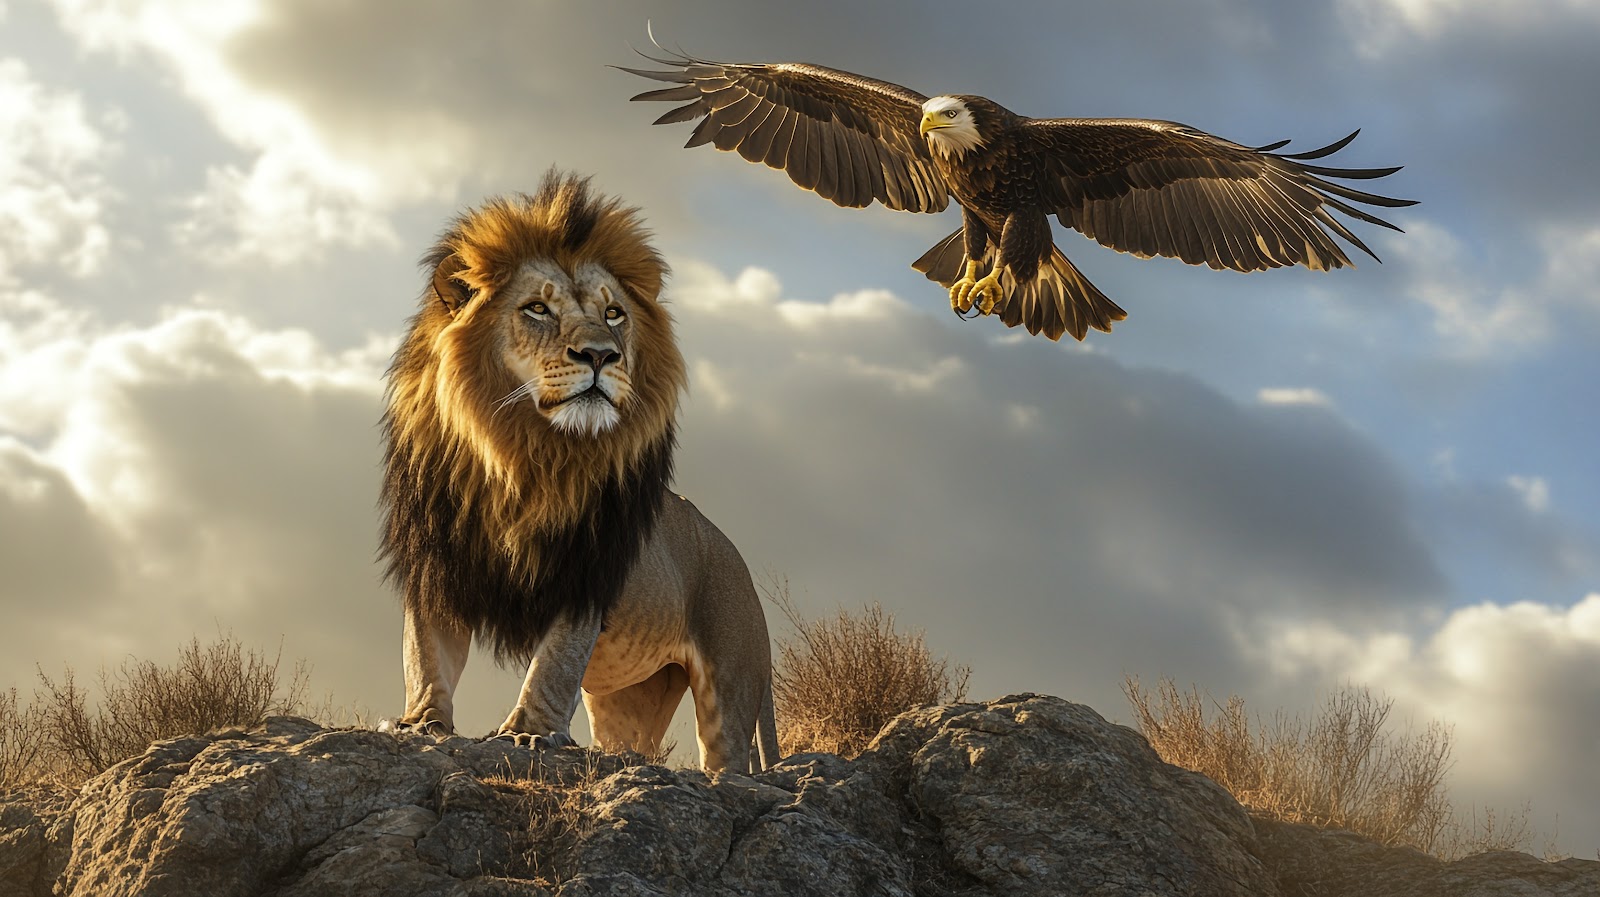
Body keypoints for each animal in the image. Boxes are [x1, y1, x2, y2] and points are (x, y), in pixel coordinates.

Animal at [377, 171, 778, 772]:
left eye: (614, 314)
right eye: (537, 309)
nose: (600, 355)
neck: (519, 457)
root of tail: (741, 563)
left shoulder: (585, 567)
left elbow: (554, 663)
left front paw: (527, 734)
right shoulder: (436, 563)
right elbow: (426, 657)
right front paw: (420, 724)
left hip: (729, 684)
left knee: (728, 759)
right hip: (628, 700)